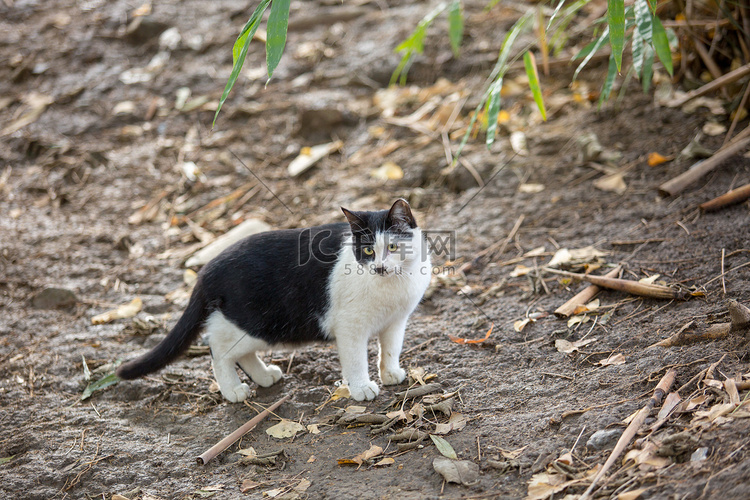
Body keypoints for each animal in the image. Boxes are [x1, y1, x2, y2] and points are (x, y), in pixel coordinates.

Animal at [118, 198, 434, 402]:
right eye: (368, 251)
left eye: (392, 247)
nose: (379, 267)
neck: (392, 284)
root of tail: (208, 269)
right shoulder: (350, 328)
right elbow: (356, 359)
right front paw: (361, 388)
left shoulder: (396, 321)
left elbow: (390, 349)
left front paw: (390, 373)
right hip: (253, 324)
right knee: (218, 349)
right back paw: (233, 391)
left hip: (259, 330)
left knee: (239, 353)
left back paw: (264, 376)